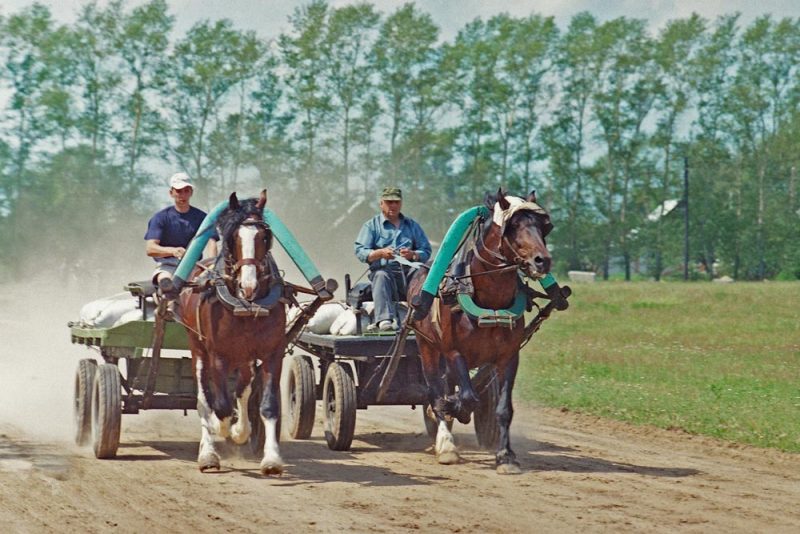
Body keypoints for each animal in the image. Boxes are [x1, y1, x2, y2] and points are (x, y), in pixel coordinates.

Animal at [178, 192, 288, 478]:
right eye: (232, 237)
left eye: (264, 236)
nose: (248, 286)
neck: (245, 307)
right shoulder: (218, 356)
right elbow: (220, 407)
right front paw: (221, 429)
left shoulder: (272, 354)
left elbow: (268, 406)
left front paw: (271, 458)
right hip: (198, 349)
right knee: (204, 400)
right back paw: (208, 452)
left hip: (245, 358)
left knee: (242, 389)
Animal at [410, 191, 552, 476]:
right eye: (514, 226)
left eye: (543, 227)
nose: (542, 260)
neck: (491, 303)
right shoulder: (454, 351)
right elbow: (466, 397)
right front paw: (454, 410)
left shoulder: (508, 357)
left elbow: (503, 409)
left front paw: (506, 457)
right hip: (427, 347)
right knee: (434, 390)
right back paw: (445, 443)